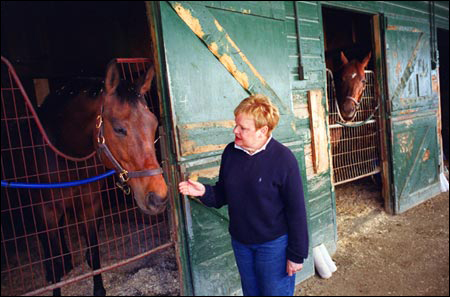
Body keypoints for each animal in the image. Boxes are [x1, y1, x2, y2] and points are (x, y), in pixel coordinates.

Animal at [34, 60, 169, 294]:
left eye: (153, 124)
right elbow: (56, 260)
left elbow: (94, 252)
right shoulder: (47, 210)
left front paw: (99, 289)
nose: (158, 198)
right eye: (119, 129)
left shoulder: (91, 204)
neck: (66, 152)